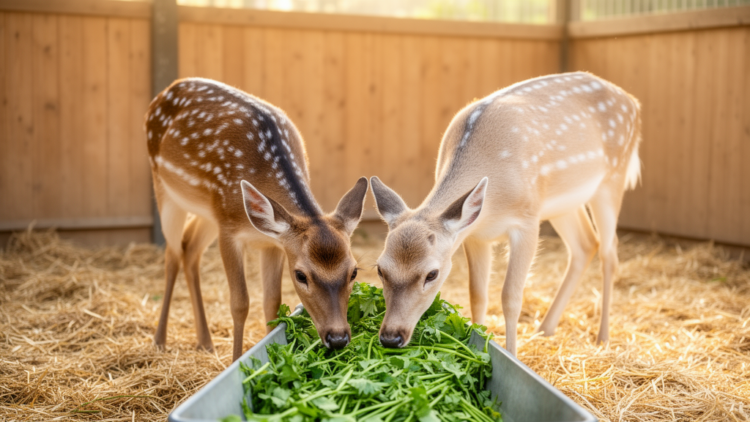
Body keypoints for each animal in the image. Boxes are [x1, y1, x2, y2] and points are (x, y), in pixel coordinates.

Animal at [145, 77, 369, 361]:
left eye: (354, 272)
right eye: (300, 275)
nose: (338, 337)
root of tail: (168, 89)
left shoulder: (272, 242)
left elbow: (271, 303)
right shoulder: (228, 230)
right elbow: (240, 303)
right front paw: (236, 360)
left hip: (208, 212)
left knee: (189, 248)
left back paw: (205, 342)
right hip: (165, 189)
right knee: (172, 255)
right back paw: (159, 341)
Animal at [370, 72, 641, 356]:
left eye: (431, 274)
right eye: (380, 269)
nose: (391, 337)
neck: (494, 203)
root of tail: (633, 103)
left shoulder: (527, 221)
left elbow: (511, 296)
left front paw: (511, 354)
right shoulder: (474, 234)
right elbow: (477, 294)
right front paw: (477, 341)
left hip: (612, 178)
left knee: (610, 252)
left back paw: (603, 338)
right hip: (564, 203)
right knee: (586, 244)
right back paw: (545, 329)